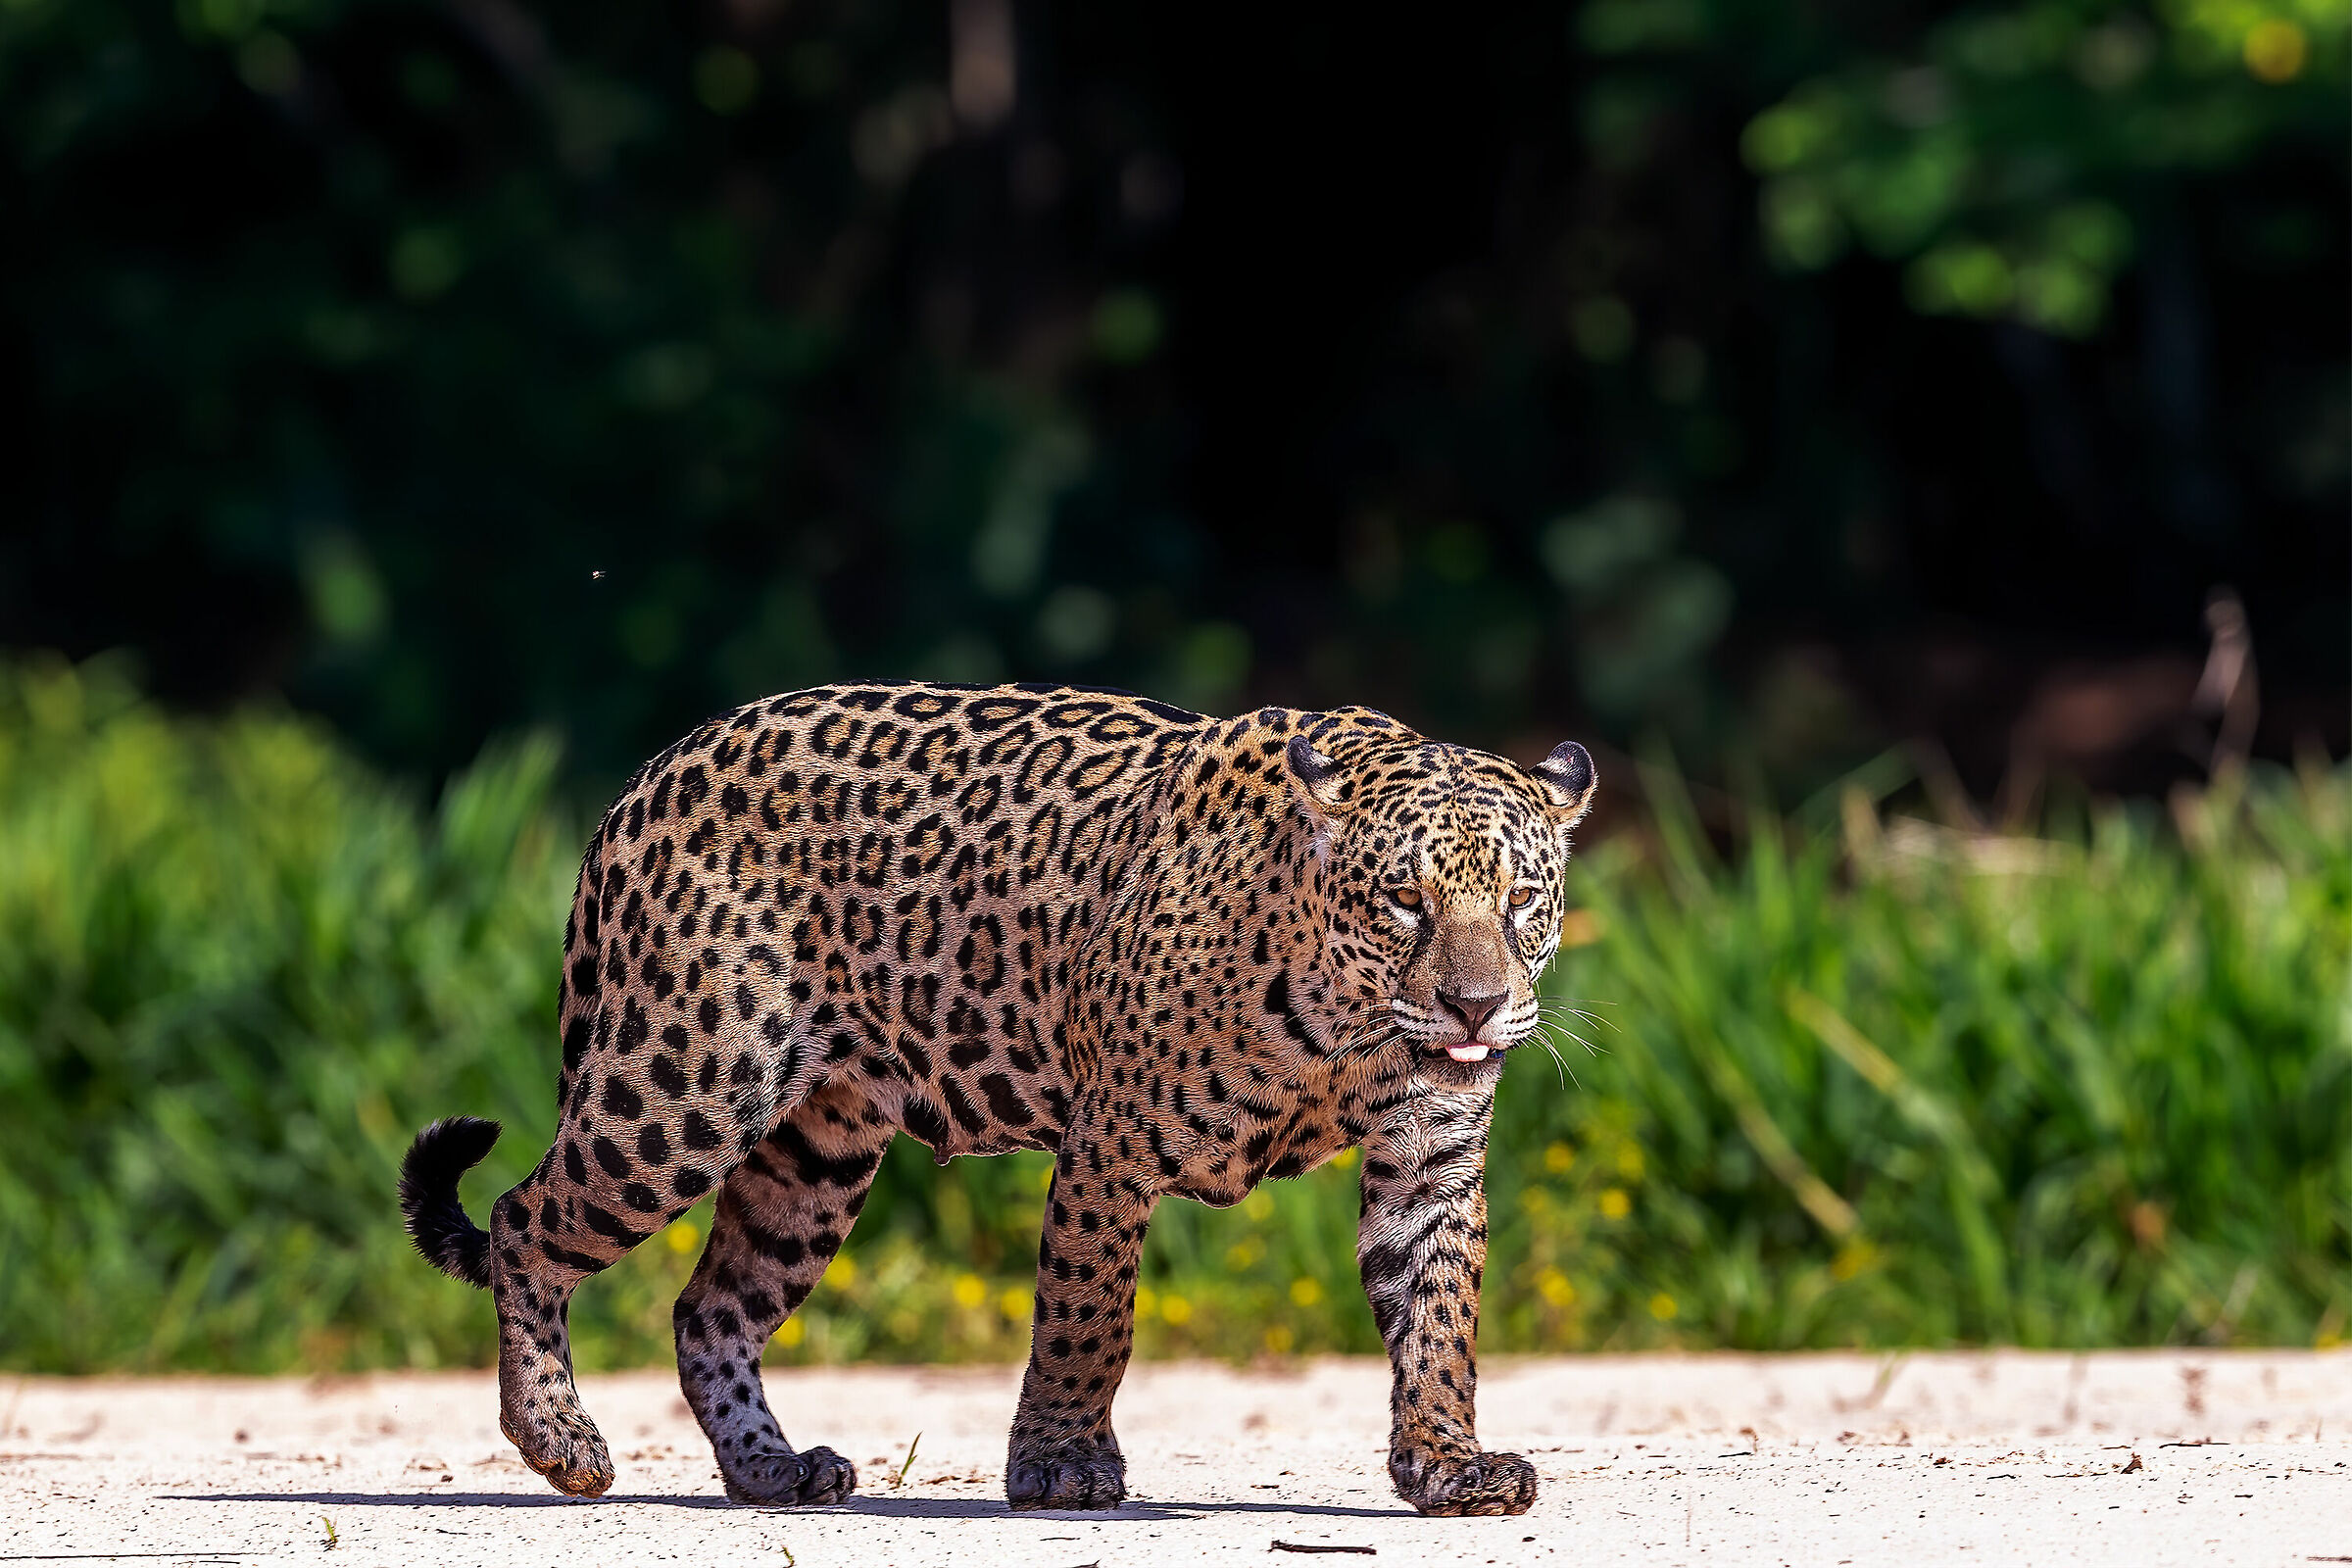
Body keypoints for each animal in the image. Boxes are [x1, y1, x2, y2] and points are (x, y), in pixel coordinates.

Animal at [399, 680, 1596, 1517]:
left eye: (1521, 899)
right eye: (1405, 902)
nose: (1477, 1006)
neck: (1341, 1023)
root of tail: (643, 779)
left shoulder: (1429, 1157)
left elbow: (1440, 1319)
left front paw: (1447, 1465)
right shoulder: (1114, 1141)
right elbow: (1087, 1313)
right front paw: (1062, 1465)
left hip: (816, 1153)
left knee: (712, 1306)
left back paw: (773, 1471)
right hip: (680, 1087)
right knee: (522, 1220)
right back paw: (559, 1438)